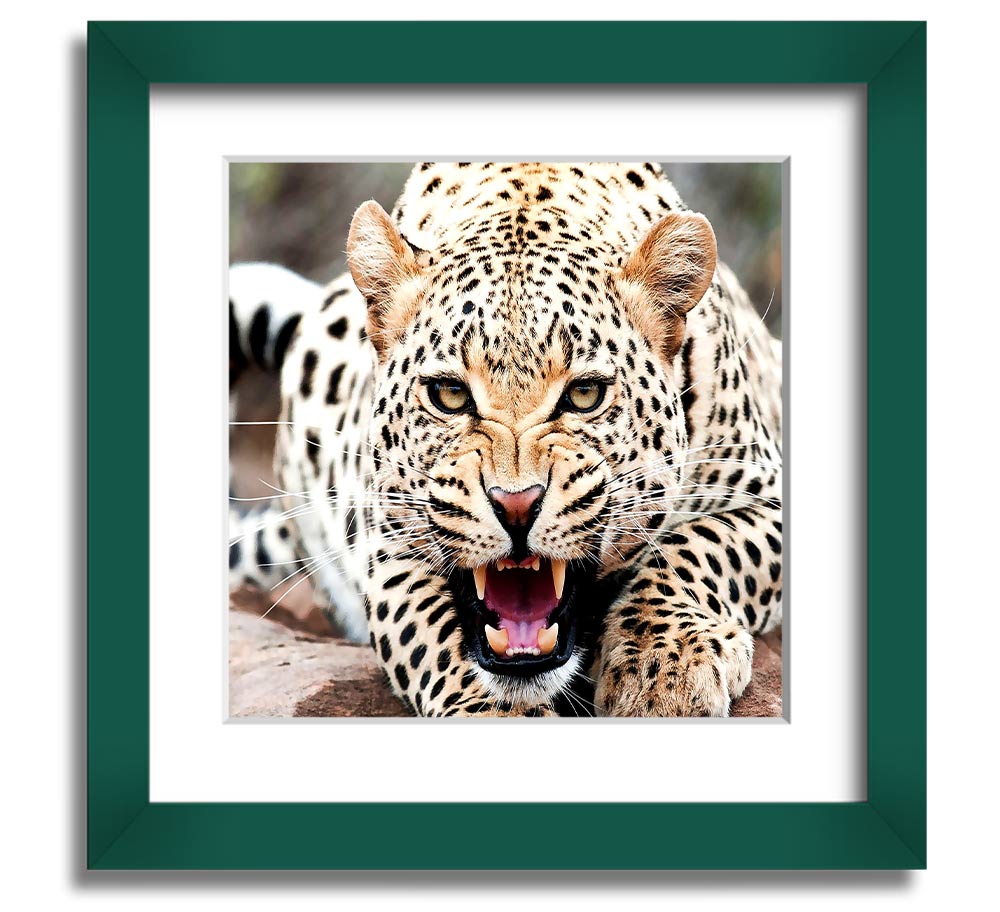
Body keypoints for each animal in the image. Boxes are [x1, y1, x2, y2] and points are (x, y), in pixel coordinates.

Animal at [229, 161, 783, 717]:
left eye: (585, 394)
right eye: (450, 395)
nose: (516, 505)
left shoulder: (768, 495)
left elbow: (696, 548)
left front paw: (662, 665)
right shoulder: (387, 547)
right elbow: (436, 639)